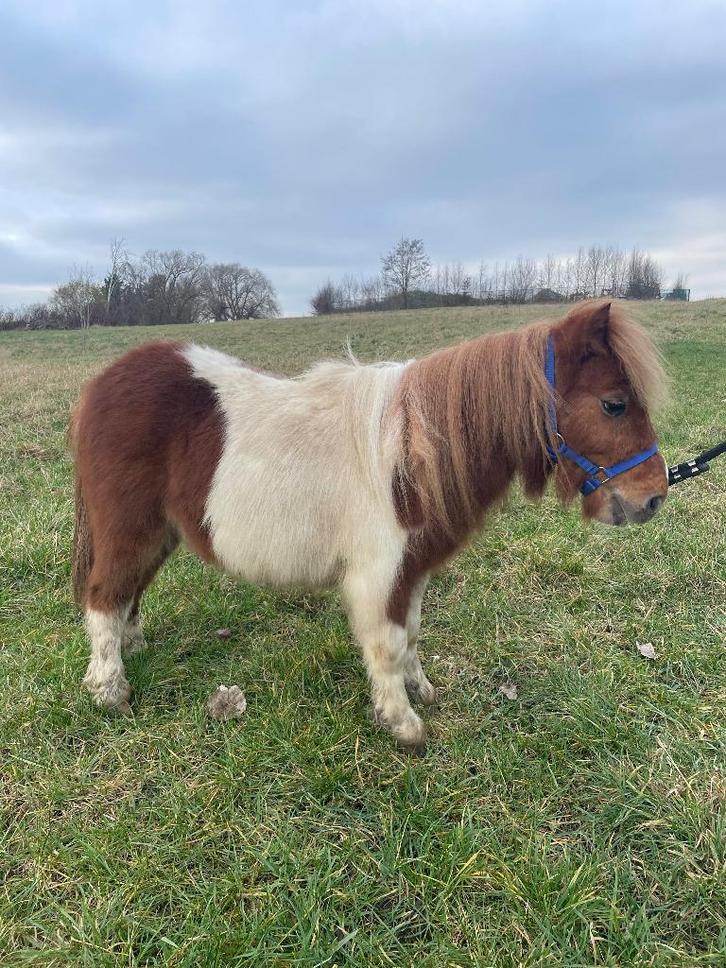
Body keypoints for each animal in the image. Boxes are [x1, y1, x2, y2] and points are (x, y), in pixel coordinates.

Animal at [70, 299, 667, 749]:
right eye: (614, 405)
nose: (654, 497)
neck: (413, 452)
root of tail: (102, 383)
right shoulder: (380, 573)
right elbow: (388, 643)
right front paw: (402, 724)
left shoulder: (413, 568)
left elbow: (412, 635)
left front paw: (421, 690)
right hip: (129, 527)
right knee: (104, 595)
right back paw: (109, 691)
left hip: (160, 532)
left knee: (128, 593)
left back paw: (131, 649)